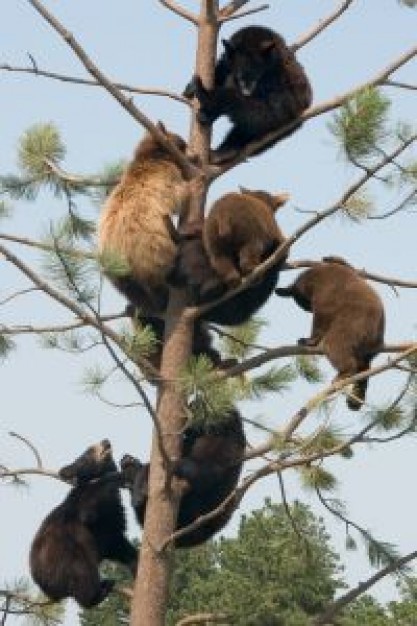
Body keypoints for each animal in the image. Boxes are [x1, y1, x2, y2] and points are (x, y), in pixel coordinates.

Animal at [29, 438, 136, 604]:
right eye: (88, 452)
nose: (105, 441)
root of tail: (49, 591)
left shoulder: (111, 525)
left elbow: (118, 544)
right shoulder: (85, 508)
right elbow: (89, 510)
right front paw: (124, 471)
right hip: (65, 560)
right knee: (83, 570)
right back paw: (100, 590)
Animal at [184, 25, 310, 165]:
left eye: (257, 75)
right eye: (240, 75)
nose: (247, 89)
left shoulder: (278, 74)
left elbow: (270, 112)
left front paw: (208, 97)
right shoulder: (228, 57)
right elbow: (222, 69)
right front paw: (190, 89)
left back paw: (226, 149)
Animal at [276, 256, 384, 408]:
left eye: (304, 304)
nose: (308, 309)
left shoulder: (325, 293)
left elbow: (322, 317)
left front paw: (309, 340)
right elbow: (346, 265)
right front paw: (331, 257)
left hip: (353, 326)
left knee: (336, 346)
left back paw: (344, 373)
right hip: (368, 346)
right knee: (364, 367)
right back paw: (356, 397)